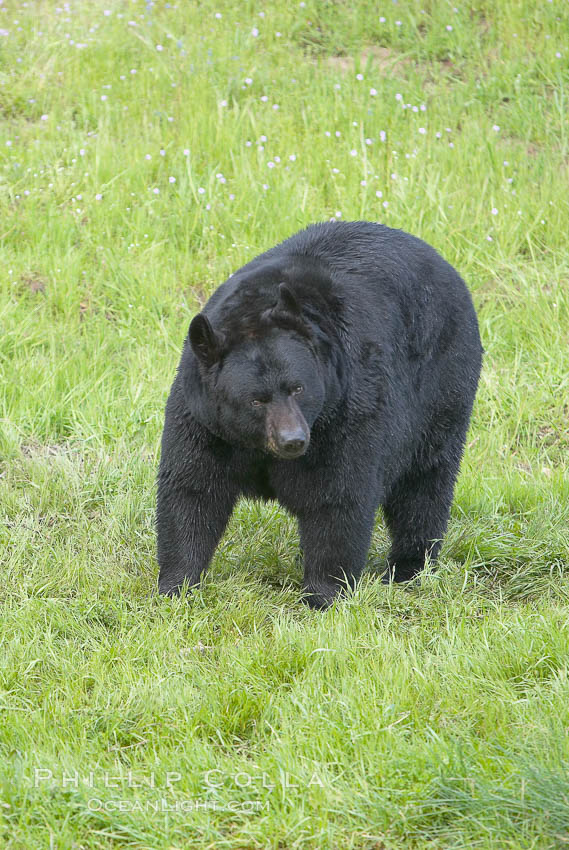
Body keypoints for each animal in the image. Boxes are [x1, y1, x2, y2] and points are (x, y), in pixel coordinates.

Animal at [158, 219, 482, 604]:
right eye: (256, 400)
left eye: (297, 388)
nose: (293, 440)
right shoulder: (203, 420)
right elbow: (192, 490)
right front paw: (177, 586)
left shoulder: (343, 414)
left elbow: (337, 498)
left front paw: (323, 595)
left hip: (441, 386)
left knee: (424, 483)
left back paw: (409, 566)